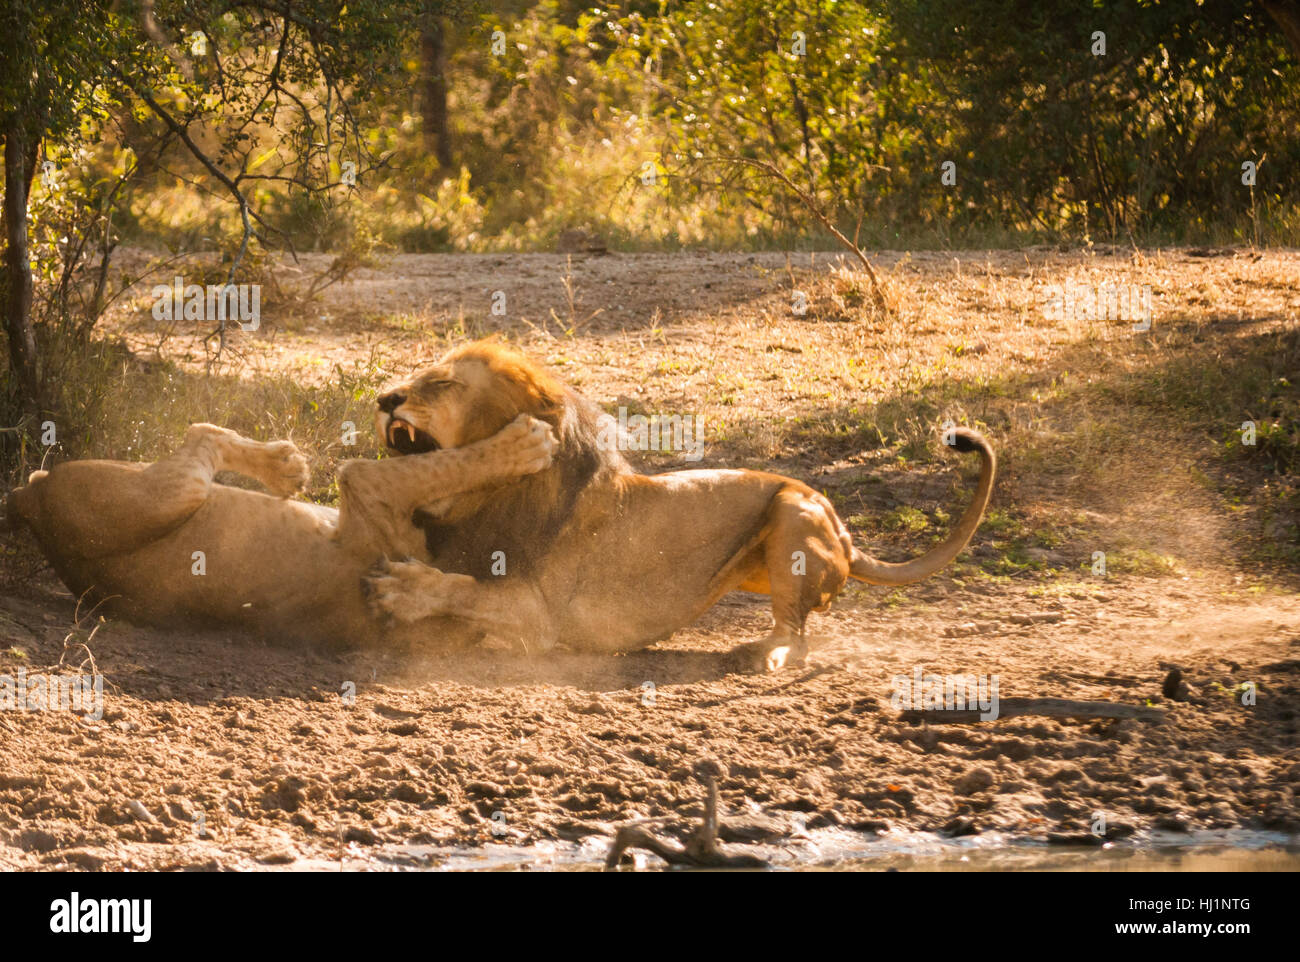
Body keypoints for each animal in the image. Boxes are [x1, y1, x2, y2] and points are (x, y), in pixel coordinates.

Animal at [8, 410, 559, 642]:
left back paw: (286, 467)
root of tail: (30, 501)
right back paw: (284, 466)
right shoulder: (368, 486)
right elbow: (449, 463)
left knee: (202, 437)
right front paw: (525, 444)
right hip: (170, 494)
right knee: (202, 434)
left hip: (165, 495)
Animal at [366, 340, 993, 670]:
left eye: (442, 383)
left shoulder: (538, 615)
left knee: (797, 635)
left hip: (794, 511)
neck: (491, 498)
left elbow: (464, 588)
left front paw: (403, 587)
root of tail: (847, 535)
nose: (382, 398)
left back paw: (761, 653)